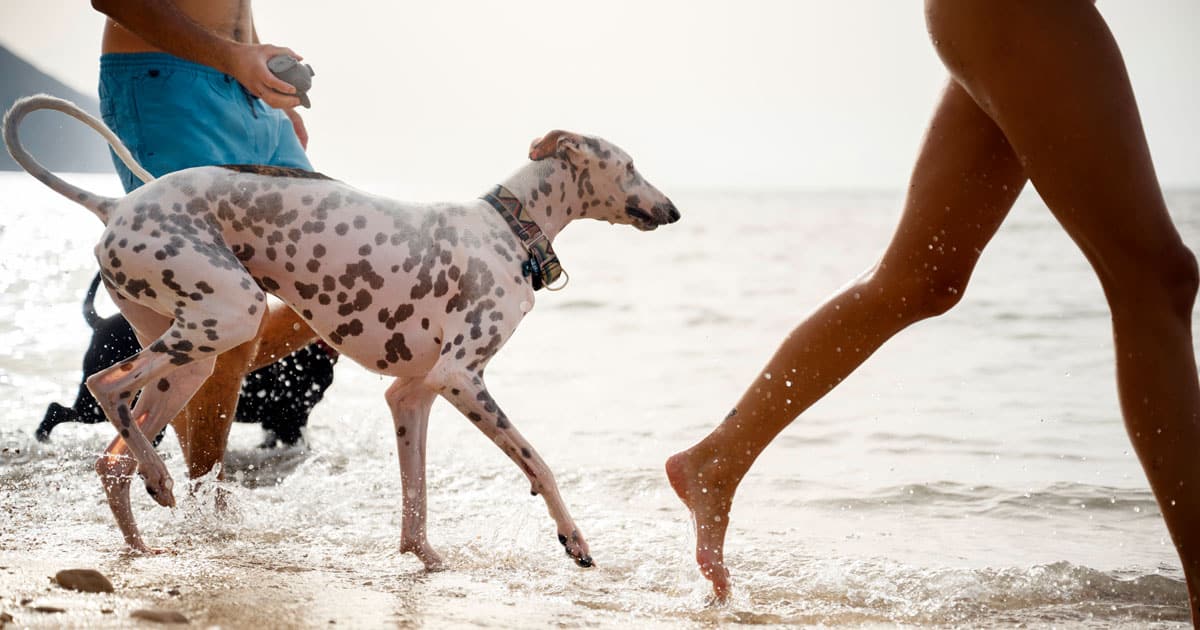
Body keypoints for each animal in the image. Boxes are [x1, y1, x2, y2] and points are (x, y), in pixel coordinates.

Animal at [38, 272, 338, 444]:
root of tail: (99, 323)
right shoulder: (290, 417)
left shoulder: (282, 420)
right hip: (95, 407)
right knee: (56, 408)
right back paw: (42, 436)